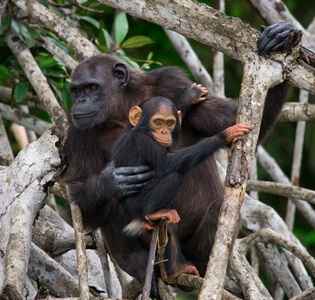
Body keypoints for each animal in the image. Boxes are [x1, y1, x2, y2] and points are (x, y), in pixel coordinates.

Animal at [63, 21, 298, 298]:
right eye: (76, 90)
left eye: (92, 87)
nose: (81, 101)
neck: (122, 107)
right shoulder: (77, 131)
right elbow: (79, 194)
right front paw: (112, 180)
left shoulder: (171, 83)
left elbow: (230, 118)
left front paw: (278, 37)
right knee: (112, 206)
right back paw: (137, 261)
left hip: (193, 252)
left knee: (218, 211)